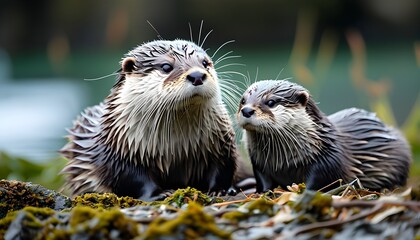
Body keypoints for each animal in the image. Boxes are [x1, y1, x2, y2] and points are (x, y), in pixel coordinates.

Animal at [62, 39, 240, 201]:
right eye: (166, 67)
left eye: (204, 63)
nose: (197, 75)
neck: (176, 148)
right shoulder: (119, 154)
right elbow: (133, 179)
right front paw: (159, 194)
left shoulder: (220, 143)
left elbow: (222, 166)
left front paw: (219, 190)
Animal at [238, 79, 412, 192]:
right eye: (243, 100)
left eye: (271, 102)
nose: (246, 110)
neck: (283, 163)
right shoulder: (259, 163)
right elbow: (263, 180)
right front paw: (262, 192)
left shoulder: (329, 160)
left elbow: (319, 181)